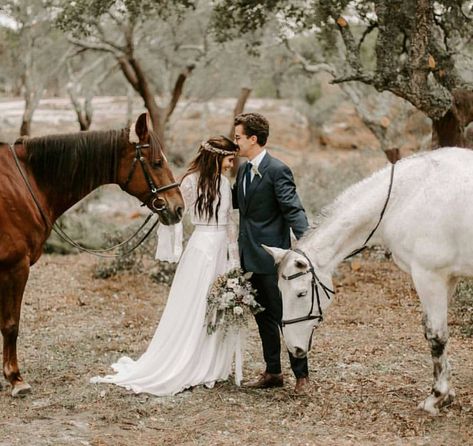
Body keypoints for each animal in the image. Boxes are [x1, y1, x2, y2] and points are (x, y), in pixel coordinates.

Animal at [0, 113, 184, 396]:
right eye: (156, 162)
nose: (178, 207)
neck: (25, 182)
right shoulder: (15, 267)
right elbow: (11, 324)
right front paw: (16, 379)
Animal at [264, 146, 472, 414]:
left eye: (301, 294)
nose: (294, 348)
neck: (405, 198)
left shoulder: (429, 277)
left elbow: (436, 335)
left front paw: (437, 397)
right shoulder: (448, 279)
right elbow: (434, 333)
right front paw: (446, 394)